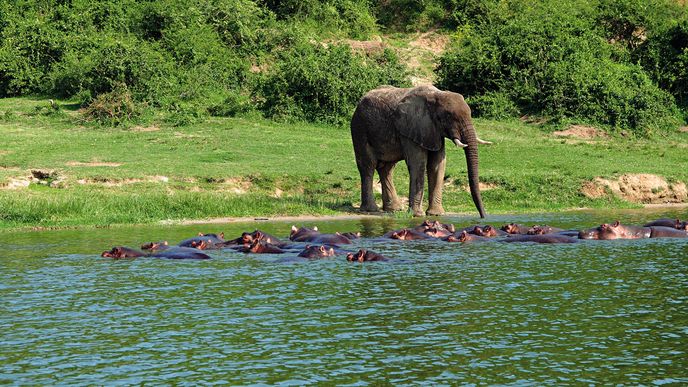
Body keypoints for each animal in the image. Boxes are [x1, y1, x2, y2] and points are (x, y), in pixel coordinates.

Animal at [350, 85, 490, 218]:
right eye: (449, 117)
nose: (483, 216)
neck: (436, 95)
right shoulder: (412, 127)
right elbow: (418, 164)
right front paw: (416, 215)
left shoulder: (434, 130)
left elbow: (438, 164)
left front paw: (436, 214)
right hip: (359, 129)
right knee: (368, 166)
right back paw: (370, 210)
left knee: (387, 169)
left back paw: (394, 209)